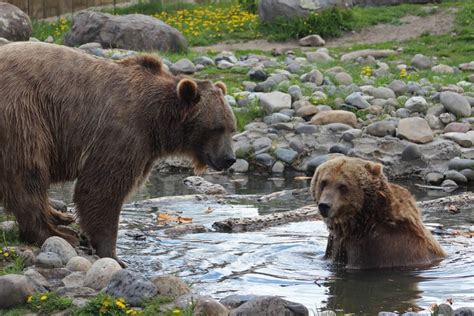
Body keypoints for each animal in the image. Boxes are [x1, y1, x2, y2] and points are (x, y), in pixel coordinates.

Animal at [0, 42, 236, 264]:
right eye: (216, 128)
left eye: (231, 128)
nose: (229, 158)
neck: (158, 123)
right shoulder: (122, 131)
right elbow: (101, 189)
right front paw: (113, 254)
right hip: (23, 112)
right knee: (28, 172)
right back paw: (57, 233)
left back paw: (60, 218)